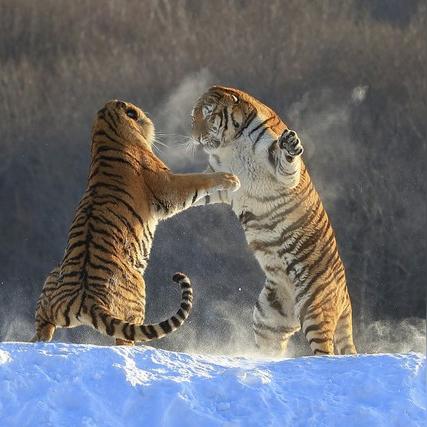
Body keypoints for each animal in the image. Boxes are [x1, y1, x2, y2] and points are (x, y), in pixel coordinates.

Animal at [32, 98, 241, 346]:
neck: (106, 129)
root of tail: (87, 299)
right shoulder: (168, 184)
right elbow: (197, 181)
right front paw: (230, 179)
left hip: (51, 281)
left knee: (43, 325)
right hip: (138, 288)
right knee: (127, 336)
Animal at [191, 85, 358, 356]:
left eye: (208, 114)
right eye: (192, 118)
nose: (195, 136)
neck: (230, 144)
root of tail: (346, 299)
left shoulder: (280, 171)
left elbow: (288, 164)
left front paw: (290, 144)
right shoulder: (221, 179)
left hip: (314, 308)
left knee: (327, 351)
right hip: (269, 315)